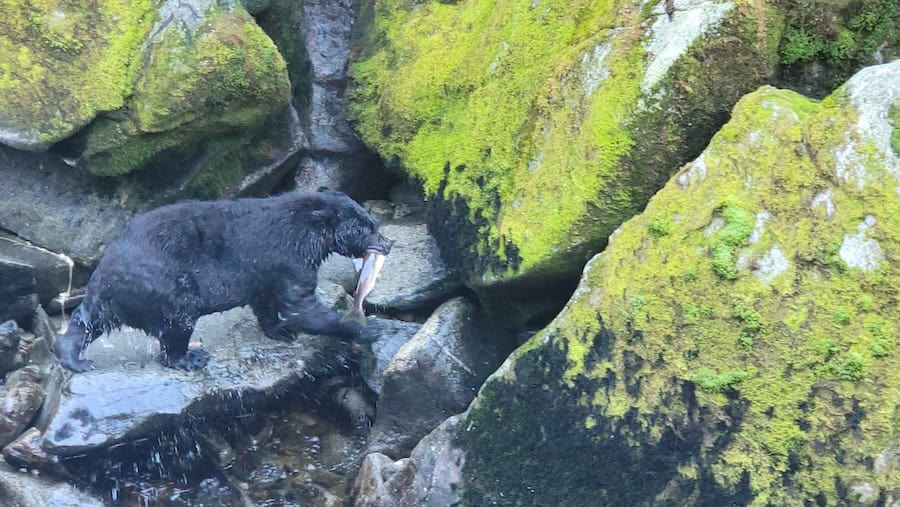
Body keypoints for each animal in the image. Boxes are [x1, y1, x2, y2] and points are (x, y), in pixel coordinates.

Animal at [53, 188, 393, 373]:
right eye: (368, 227)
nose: (388, 243)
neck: (309, 231)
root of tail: (107, 268)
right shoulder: (289, 257)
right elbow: (301, 306)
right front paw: (367, 328)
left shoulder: (266, 271)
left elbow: (267, 301)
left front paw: (280, 330)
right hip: (166, 286)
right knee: (177, 322)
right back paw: (190, 357)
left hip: (112, 296)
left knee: (88, 319)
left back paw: (75, 358)